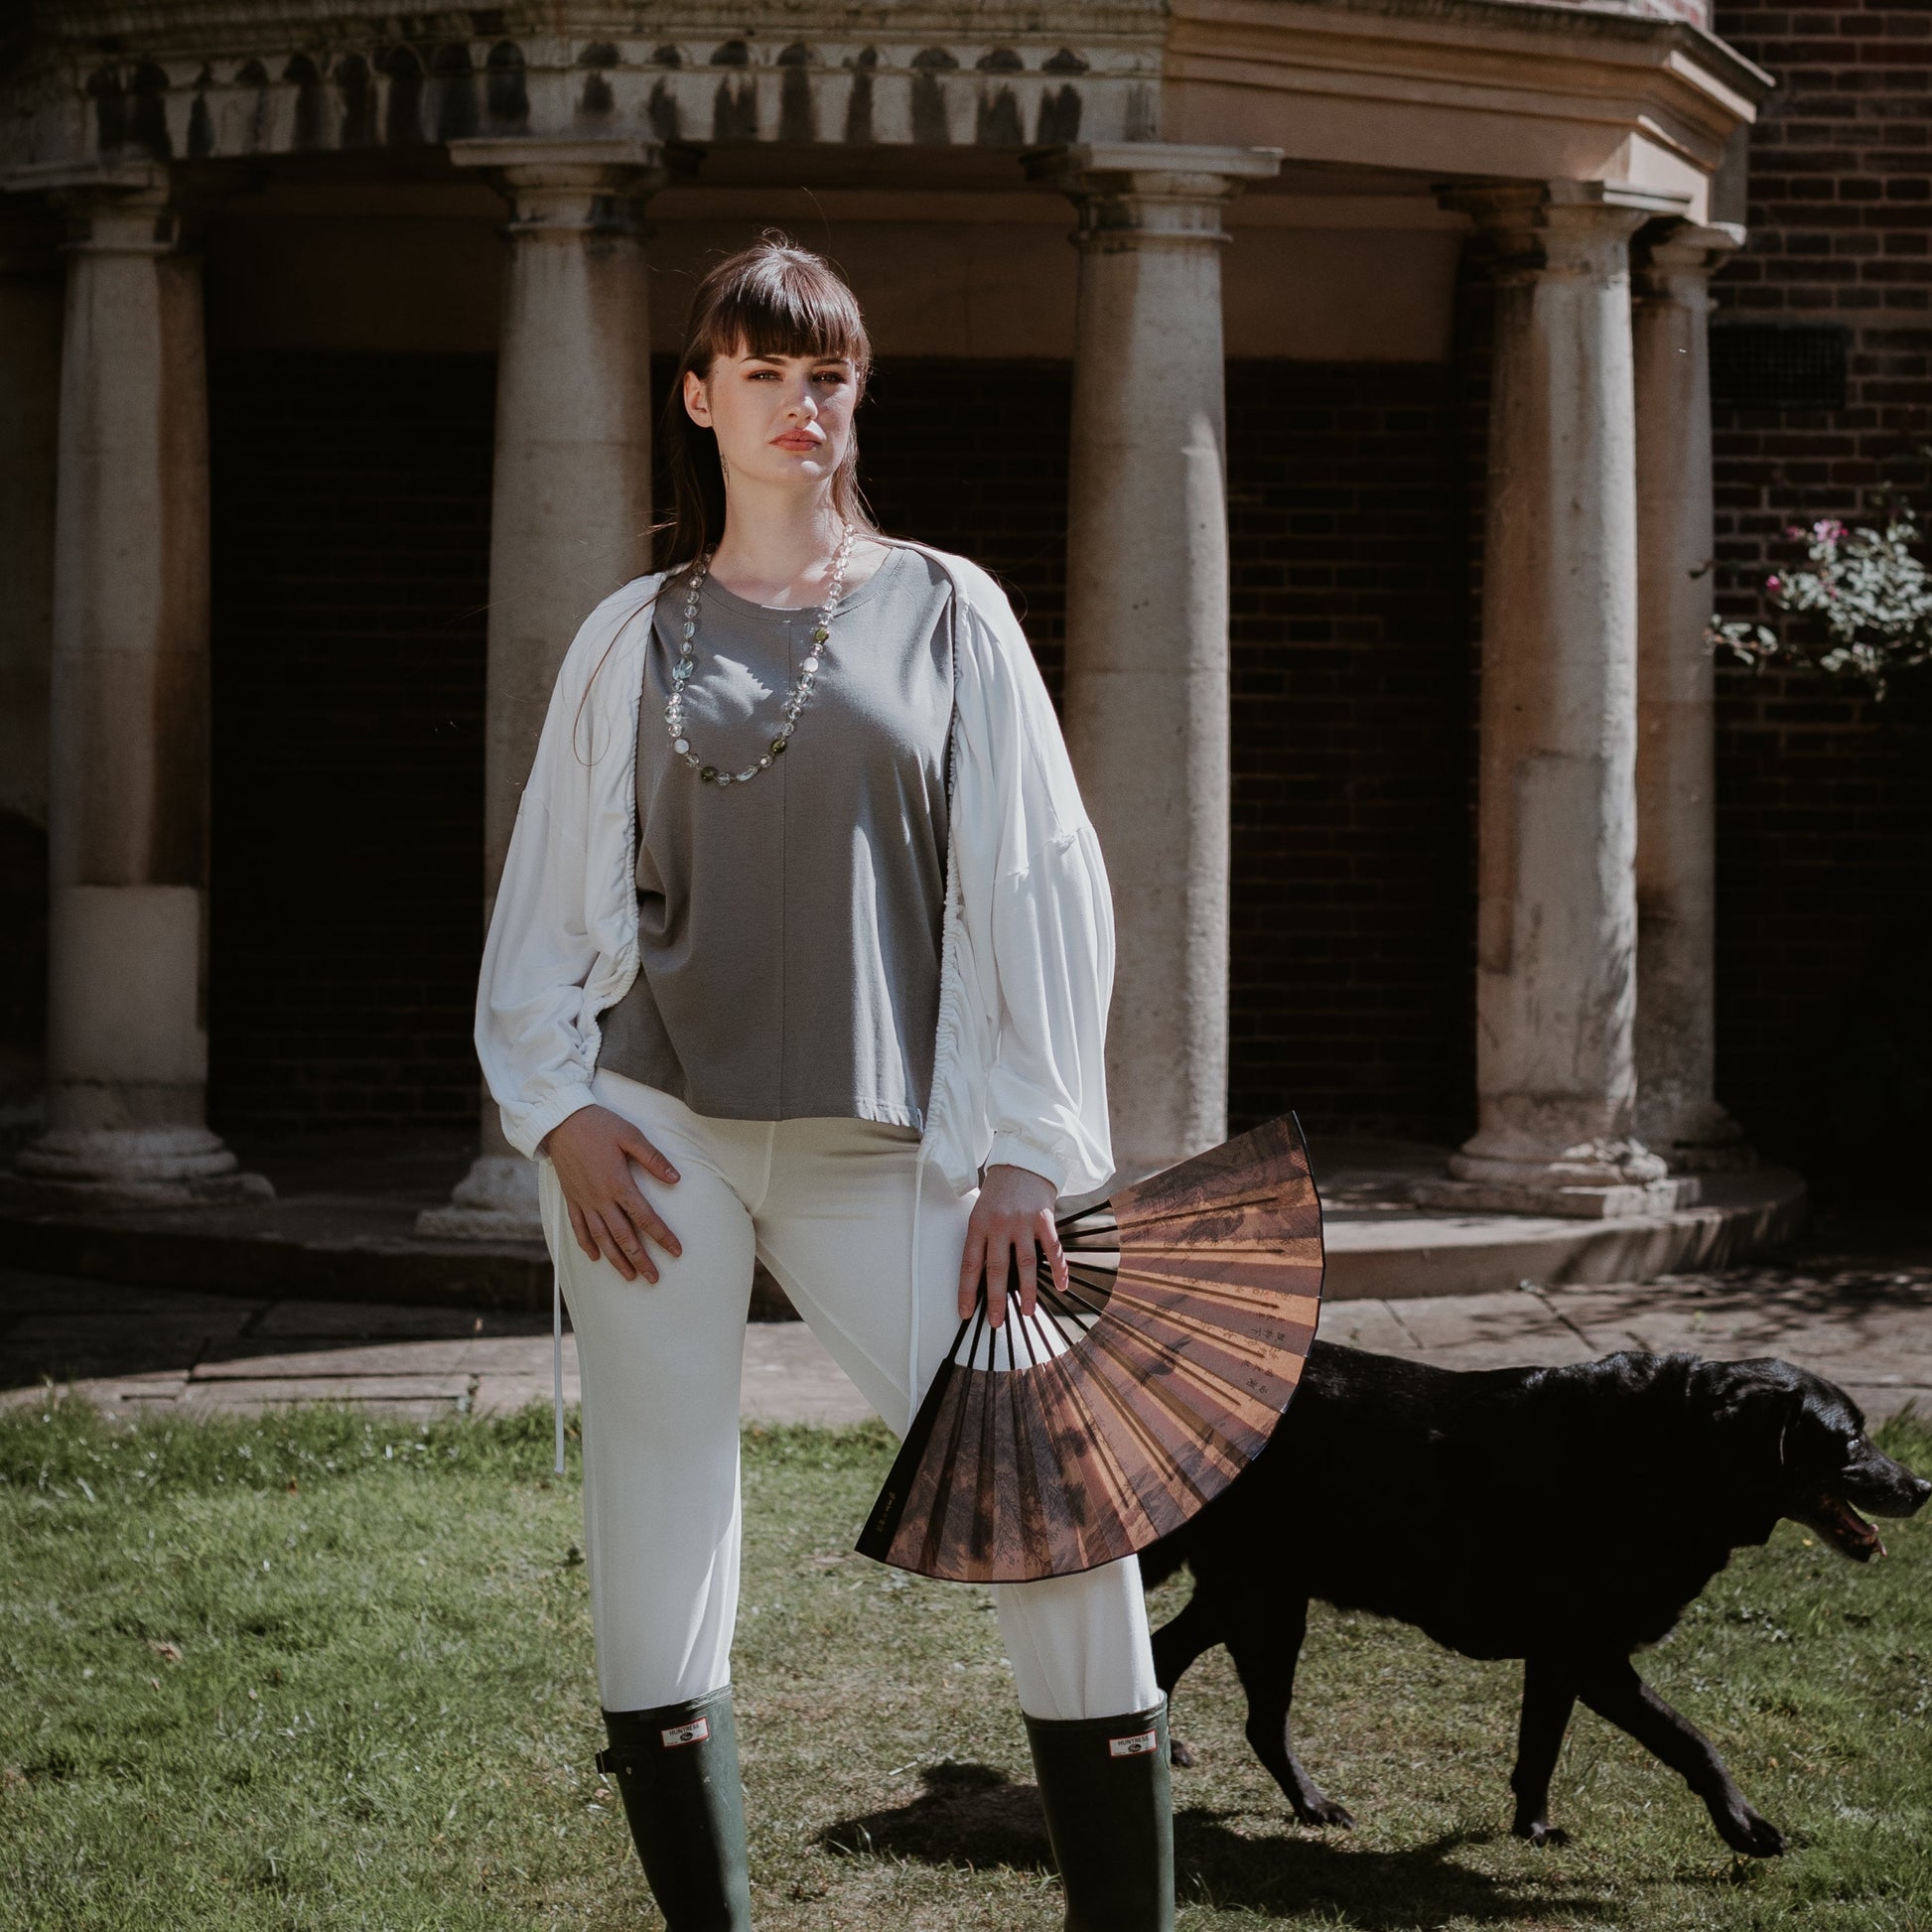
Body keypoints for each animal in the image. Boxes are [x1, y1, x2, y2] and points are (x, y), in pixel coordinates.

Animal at [1136, 1344, 1924, 1855]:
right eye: (1851, 1439)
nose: (1923, 1487)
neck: (1670, 1456)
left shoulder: (1559, 1659)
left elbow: (1539, 1751)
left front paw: (1532, 1830)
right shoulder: (1595, 1659)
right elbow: (1691, 1740)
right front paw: (1745, 1828)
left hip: (1251, 1594)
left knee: (1164, 1657)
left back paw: (1174, 1752)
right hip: (1268, 1604)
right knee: (1260, 1721)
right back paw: (1312, 1805)